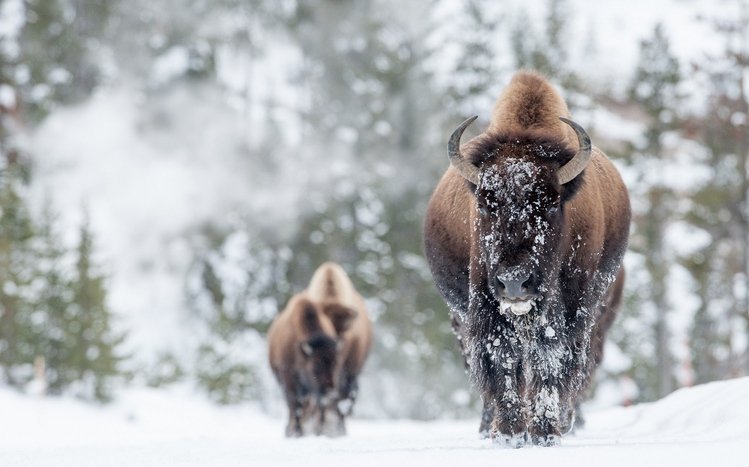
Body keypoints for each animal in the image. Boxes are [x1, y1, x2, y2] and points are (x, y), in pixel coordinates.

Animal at [423, 71, 631, 447]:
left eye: (550, 202)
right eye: (486, 203)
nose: (515, 282)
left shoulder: (570, 312)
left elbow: (551, 361)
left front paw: (545, 431)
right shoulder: (486, 309)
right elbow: (502, 359)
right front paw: (508, 432)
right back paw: (489, 427)